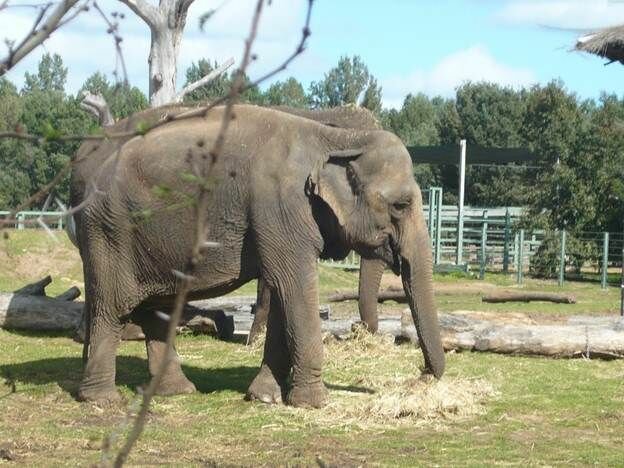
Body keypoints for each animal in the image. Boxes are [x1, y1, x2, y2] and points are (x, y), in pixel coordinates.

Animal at [72, 104, 444, 408]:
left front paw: (264, 396)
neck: (331, 136)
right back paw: (102, 401)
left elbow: (282, 292)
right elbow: (293, 284)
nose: (423, 374)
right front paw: (314, 403)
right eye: (400, 205)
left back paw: (176, 392)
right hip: (110, 229)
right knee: (112, 305)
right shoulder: (280, 206)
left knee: (156, 307)